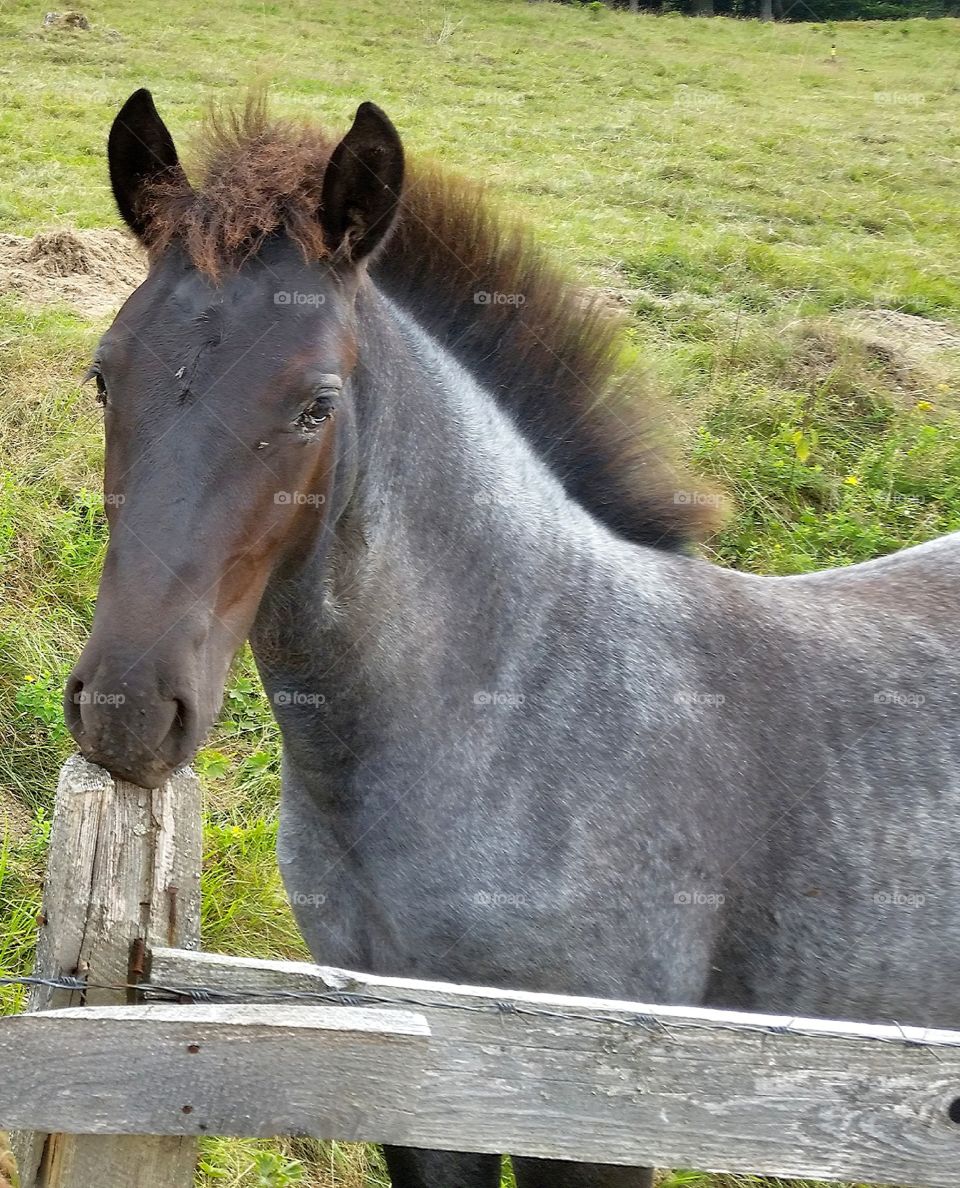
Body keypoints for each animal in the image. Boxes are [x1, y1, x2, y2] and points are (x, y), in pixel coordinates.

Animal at [65, 92, 960, 1188]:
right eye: (106, 378)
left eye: (316, 403)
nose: (127, 707)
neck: (522, 712)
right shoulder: (420, 1095)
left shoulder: (588, 1115)